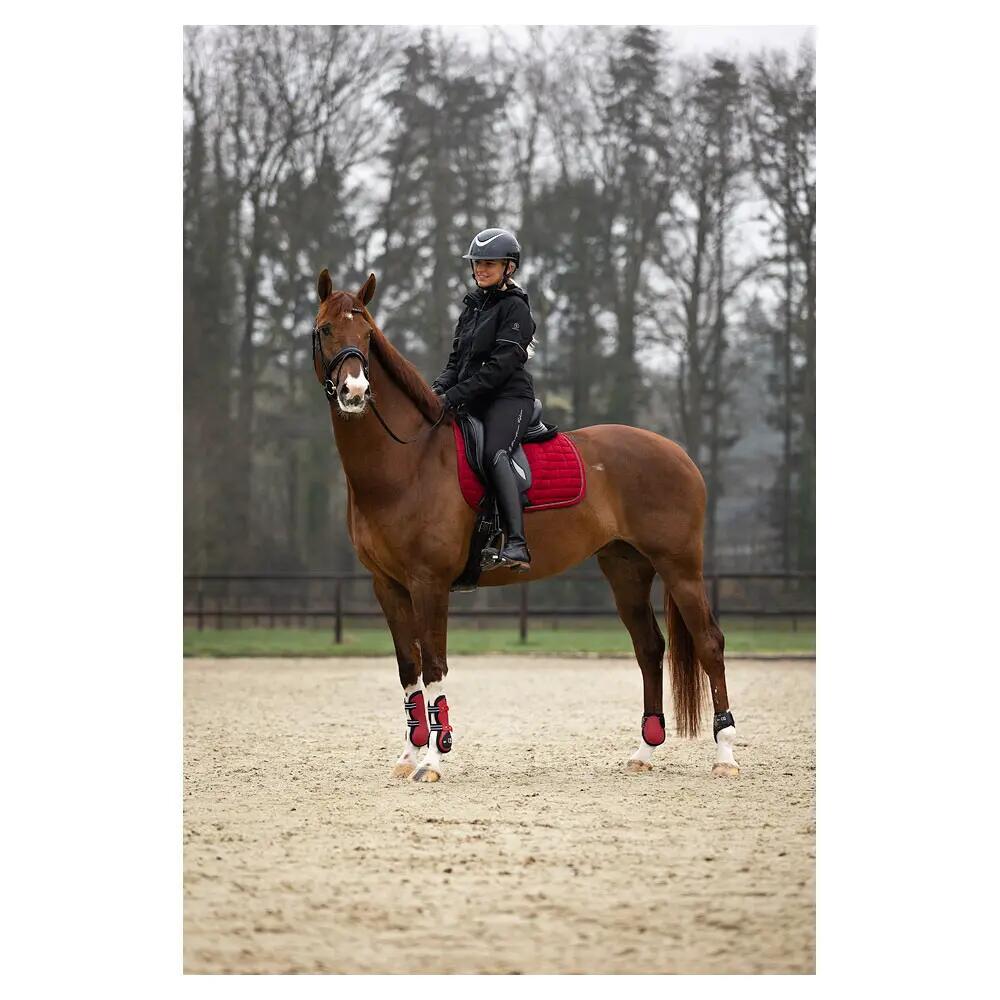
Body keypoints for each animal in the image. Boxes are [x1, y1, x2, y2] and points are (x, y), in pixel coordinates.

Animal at [312, 269, 740, 782]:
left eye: (368, 336)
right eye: (326, 330)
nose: (355, 392)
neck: (407, 461)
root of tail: (677, 452)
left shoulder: (428, 584)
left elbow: (434, 667)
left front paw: (434, 758)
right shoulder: (388, 586)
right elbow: (408, 669)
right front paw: (409, 755)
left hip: (680, 567)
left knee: (709, 643)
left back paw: (725, 754)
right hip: (627, 568)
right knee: (649, 648)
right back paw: (645, 750)